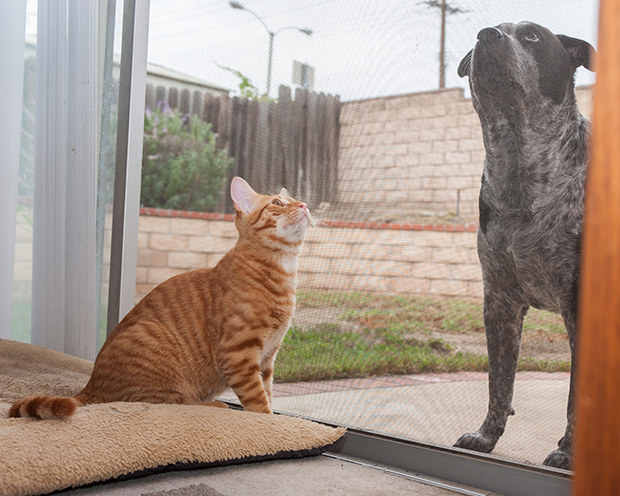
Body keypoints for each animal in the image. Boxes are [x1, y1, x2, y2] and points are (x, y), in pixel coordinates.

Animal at [9, 177, 310, 418]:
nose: (304, 205)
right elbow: (257, 399)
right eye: (277, 202)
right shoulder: (238, 353)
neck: (282, 273)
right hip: (158, 353)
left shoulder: (268, 358)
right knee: (171, 401)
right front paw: (270, 423)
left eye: (296, 200)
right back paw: (214, 405)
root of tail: (91, 384)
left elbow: (268, 390)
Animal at [456, 22, 596, 468]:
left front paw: (568, 453)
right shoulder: (499, 301)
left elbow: (575, 398)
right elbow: (499, 382)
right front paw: (486, 437)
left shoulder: (579, 307)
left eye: (532, 36)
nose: (487, 35)